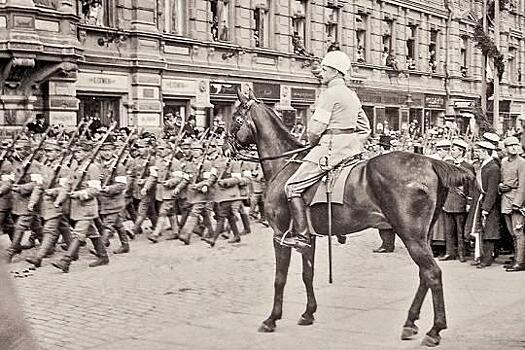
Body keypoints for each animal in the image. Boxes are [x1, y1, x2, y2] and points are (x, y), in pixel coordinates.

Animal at [231, 89, 472, 346]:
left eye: (236, 117)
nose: (228, 147)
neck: (284, 165)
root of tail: (430, 161)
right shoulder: (309, 237)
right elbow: (308, 274)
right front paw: (308, 313)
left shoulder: (280, 235)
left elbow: (280, 278)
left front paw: (272, 319)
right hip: (421, 237)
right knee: (424, 275)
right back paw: (410, 323)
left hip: (411, 236)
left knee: (432, 274)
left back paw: (434, 330)